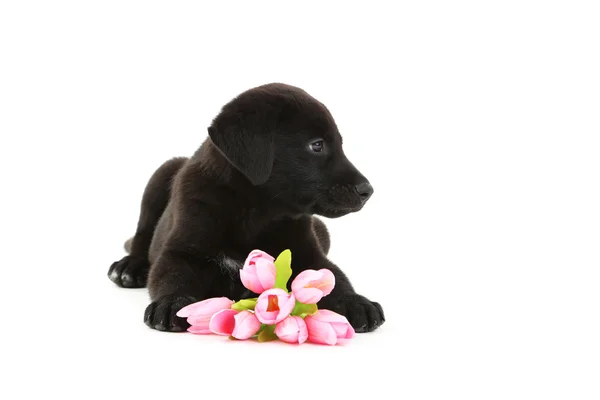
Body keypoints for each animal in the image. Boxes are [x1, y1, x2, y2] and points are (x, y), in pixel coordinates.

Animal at [108, 83, 384, 332]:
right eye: (317, 145)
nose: (367, 190)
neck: (253, 212)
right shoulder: (180, 251)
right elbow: (172, 276)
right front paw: (172, 302)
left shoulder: (308, 253)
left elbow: (335, 277)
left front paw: (355, 302)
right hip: (161, 175)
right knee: (142, 236)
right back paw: (129, 267)